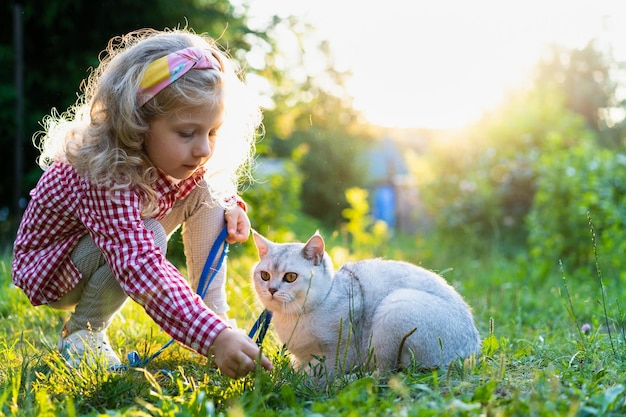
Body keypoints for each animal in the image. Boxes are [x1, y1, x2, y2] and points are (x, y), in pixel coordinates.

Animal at [251, 229, 480, 378]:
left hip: (394, 310)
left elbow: (317, 377)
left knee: (387, 373)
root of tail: (472, 352)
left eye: (290, 277)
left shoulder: (337, 353)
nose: (272, 290)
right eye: (264, 275)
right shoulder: (302, 357)